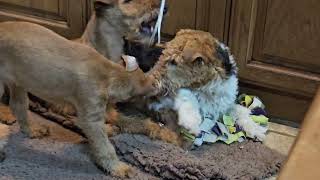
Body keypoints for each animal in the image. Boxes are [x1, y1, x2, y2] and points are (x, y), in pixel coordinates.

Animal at [0, 21, 156, 177]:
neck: (108, 74)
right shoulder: (90, 116)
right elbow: (104, 145)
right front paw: (117, 167)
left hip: (18, 82)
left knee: (18, 106)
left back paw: (32, 130)